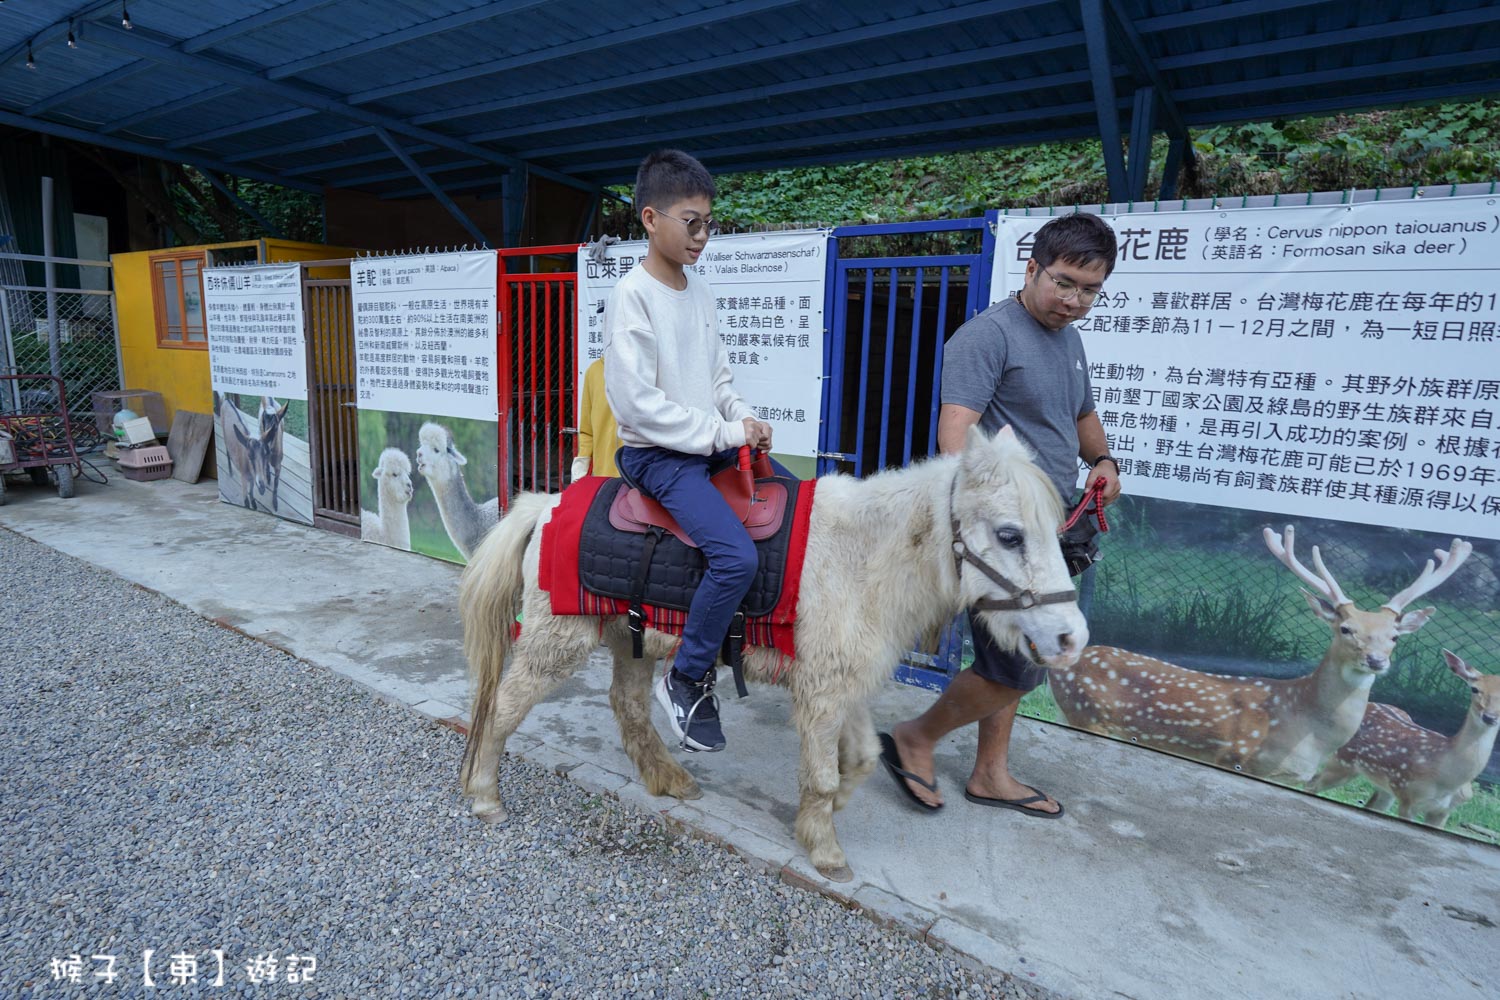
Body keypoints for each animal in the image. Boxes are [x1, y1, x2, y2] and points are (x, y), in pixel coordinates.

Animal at [462, 425, 1086, 881]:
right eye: (1009, 535)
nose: (1070, 639)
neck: (861, 558)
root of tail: (544, 504)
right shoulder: (823, 691)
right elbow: (825, 775)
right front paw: (827, 851)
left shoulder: (842, 681)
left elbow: (859, 761)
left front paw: (822, 820)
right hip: (556, 638)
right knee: (505, 706)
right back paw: (485, 797)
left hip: (631, 638)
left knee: (629, 706)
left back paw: (669, 778)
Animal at [1050, 527, 1470, 785]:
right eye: (1345, 628)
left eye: (1394, 637)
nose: (1376, 660)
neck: (1305, 729)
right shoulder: (1239, 757)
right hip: (1088, 713)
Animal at [1302, 650, 1500, 827]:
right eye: (1474, 689)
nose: (1489, 717)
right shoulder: (1409, 797)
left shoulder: (1443, 811)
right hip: (1342, 761)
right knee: (1311, 784)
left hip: (1384, 786)